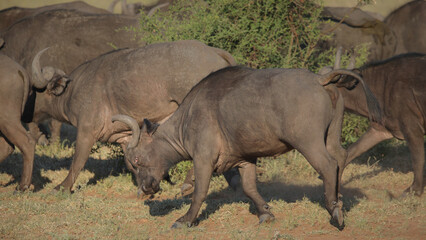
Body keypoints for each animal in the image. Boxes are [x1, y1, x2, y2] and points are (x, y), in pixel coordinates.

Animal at [29, 40, 236, 192]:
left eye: (32, 91)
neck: (72, 91)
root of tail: (215, 51)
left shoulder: (86, 131)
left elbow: (78, 160)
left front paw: (62, 187)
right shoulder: (124, 136)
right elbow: (131, 162)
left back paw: (188, 183)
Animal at [113, 65, 382, 229]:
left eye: (136, 160)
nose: (145, 189)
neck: (186, 119)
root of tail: (320, 78)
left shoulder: (203, 159)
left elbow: (199, 192)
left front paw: (185, 219)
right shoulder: (245, 159)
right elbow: (250, 188)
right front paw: (265, 212)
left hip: (308, 142)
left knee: (328, 165)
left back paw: (334, 210)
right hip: (331, 136)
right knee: (340, 159)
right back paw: (339, 200)